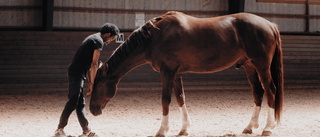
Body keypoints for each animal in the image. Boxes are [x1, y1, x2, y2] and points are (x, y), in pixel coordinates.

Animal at [89, 11, 284, 136]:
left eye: (98, 84)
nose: (92, 110)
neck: (155, 36)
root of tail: (270, 25)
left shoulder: (167, 72)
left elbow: (165, 100)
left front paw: (162, 130)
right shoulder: (176, 73)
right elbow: (180, 98)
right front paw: (184, 129)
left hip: (262, 66)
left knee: (271, 91)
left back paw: (268, 128)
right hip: (249, 66)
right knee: (258, 93)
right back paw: (250, 127)